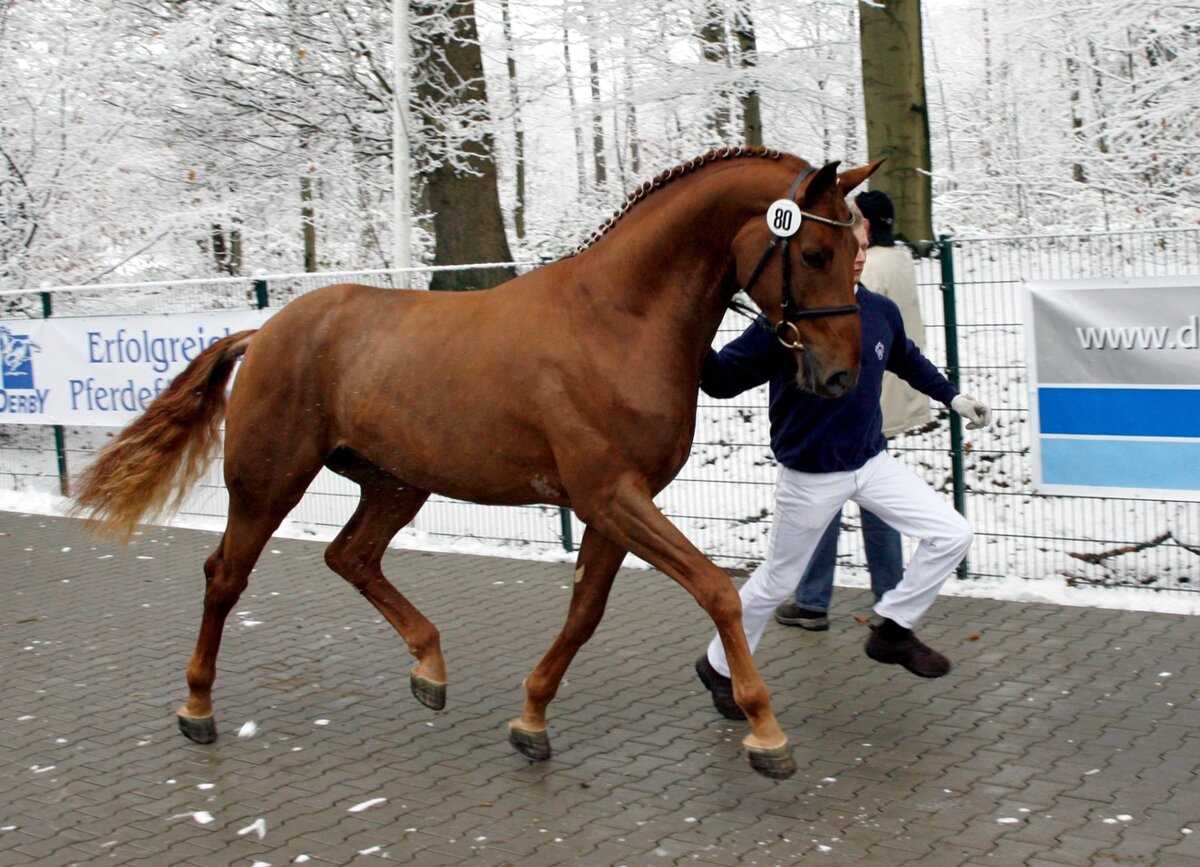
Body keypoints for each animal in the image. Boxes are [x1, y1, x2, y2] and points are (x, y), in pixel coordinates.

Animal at [77, 148, 883, 778]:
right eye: (815, 254)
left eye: (855, 257)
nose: (842, 376)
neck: (616, 319)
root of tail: (266, 329)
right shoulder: (611, 495)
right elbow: (716, 589)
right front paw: (765, 729)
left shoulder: (612, 505)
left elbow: (585, 613)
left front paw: (531, 717)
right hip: (268, 482)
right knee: (226, 576)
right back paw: (197, 705)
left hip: (395, 483)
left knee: (351, 555)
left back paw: (428, 668)